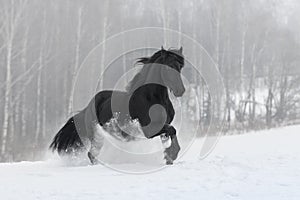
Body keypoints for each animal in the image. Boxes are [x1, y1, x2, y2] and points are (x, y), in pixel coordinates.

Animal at [49, 46, 185, 164]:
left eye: (180, 67)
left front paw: (169, 157)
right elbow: (172, 130)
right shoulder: (149, 130)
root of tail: (88, 107)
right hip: (96, 134)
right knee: (92, 154)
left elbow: (171, 133)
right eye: (167, 68)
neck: (152, 99)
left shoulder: (163, 127)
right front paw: (173, 154)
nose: (180, 91)